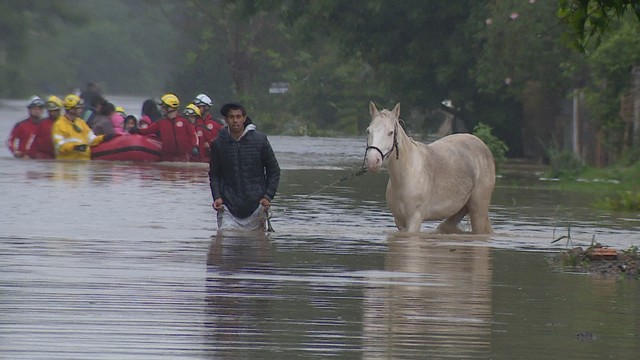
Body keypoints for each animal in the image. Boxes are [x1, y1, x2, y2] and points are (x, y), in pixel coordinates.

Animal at [364, 101, 496, 233]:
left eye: (390, 132)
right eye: (368, 131)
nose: (372, 161)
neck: (407, 175)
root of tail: (483, 146)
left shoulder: (414, 219)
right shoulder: (399, 221)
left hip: (478, 211)